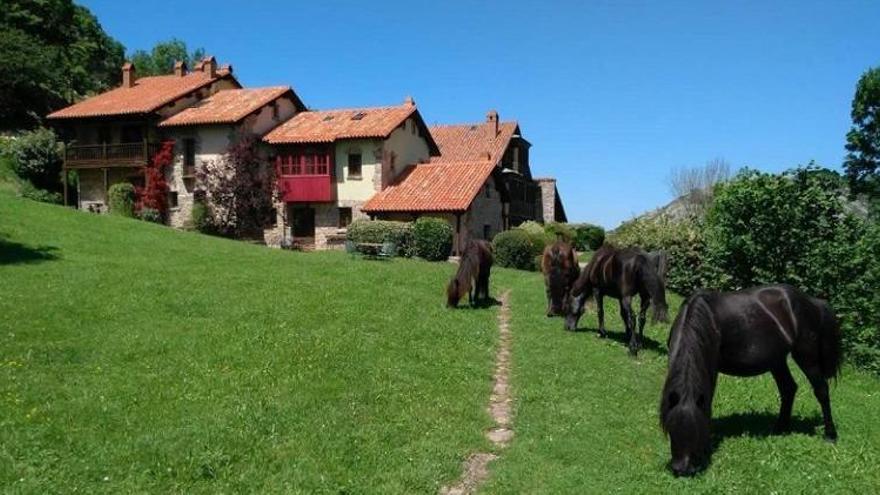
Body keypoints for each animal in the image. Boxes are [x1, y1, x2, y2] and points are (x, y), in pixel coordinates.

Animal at [660, 286, 840, 476]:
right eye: (670, 427)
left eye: (697, 429)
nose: (683, 469)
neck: (705, 317)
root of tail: (812, 301)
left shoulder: (711, 369)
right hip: (776, 360)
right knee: (788, 388)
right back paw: (780, 428)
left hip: (806, 356)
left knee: (821, 390)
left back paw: (830, 435)